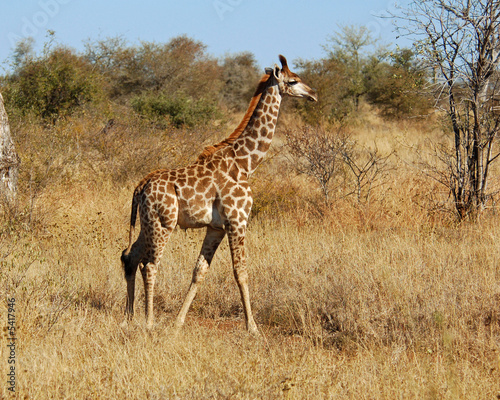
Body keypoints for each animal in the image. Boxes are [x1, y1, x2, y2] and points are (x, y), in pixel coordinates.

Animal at [120, 54, 316, 334]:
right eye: (293, 81)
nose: (313, 94)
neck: (246, 163)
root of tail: (140, 186)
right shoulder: (237, 221)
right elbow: (241, 272)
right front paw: (252, 327)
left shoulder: (216, 227)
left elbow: (199, 271)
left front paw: (179, 321)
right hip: (163, 223)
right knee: (149, 264)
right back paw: (148, 322)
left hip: (147, 223)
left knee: (130, 256)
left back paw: (128, 316)